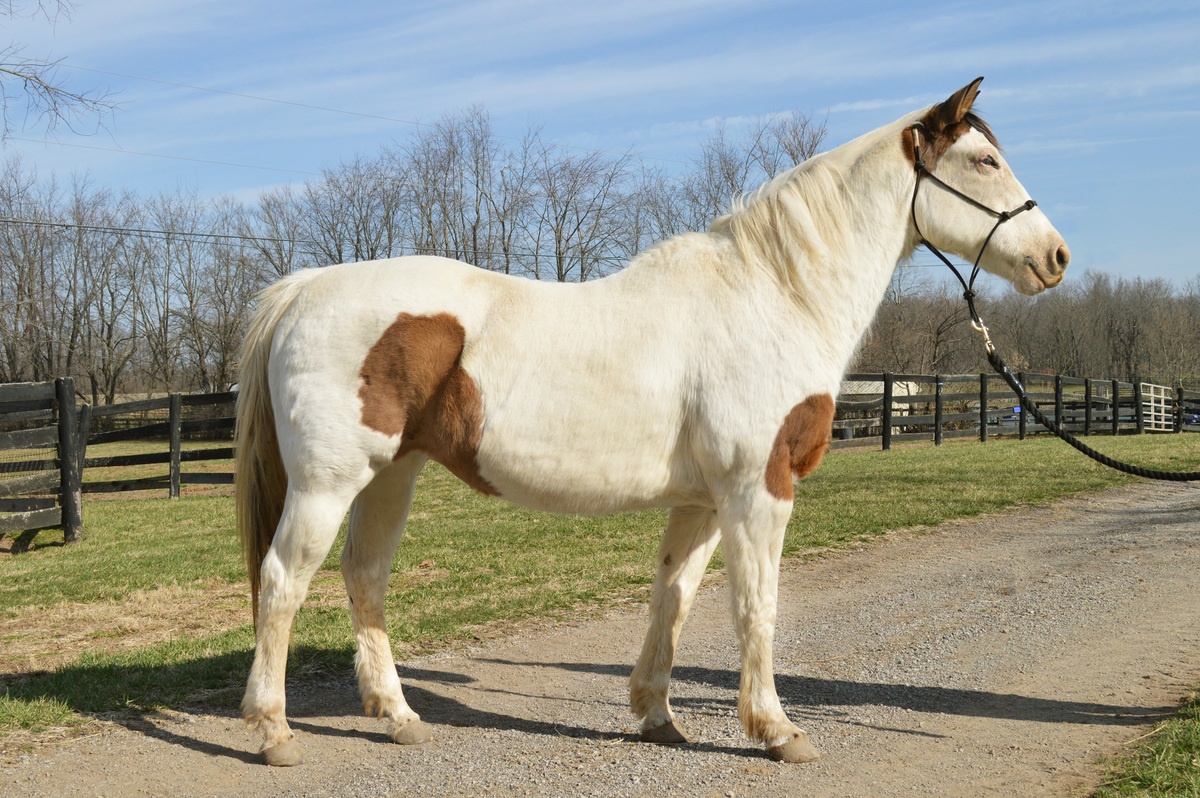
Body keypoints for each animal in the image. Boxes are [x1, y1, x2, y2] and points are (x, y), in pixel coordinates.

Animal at [235, 77, 1070, 766]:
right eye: (984, 160)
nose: (1055, 256)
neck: (775, 296)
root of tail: (306, 288)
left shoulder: (703, 501)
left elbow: (675, 599)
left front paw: (658, 716)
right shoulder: (757, 492)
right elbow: (757, 607)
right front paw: (777, 730)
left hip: (391, 476)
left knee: (365, 578)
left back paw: (398, 716)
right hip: (328, 483)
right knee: (282, 582)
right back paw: (274, 731)